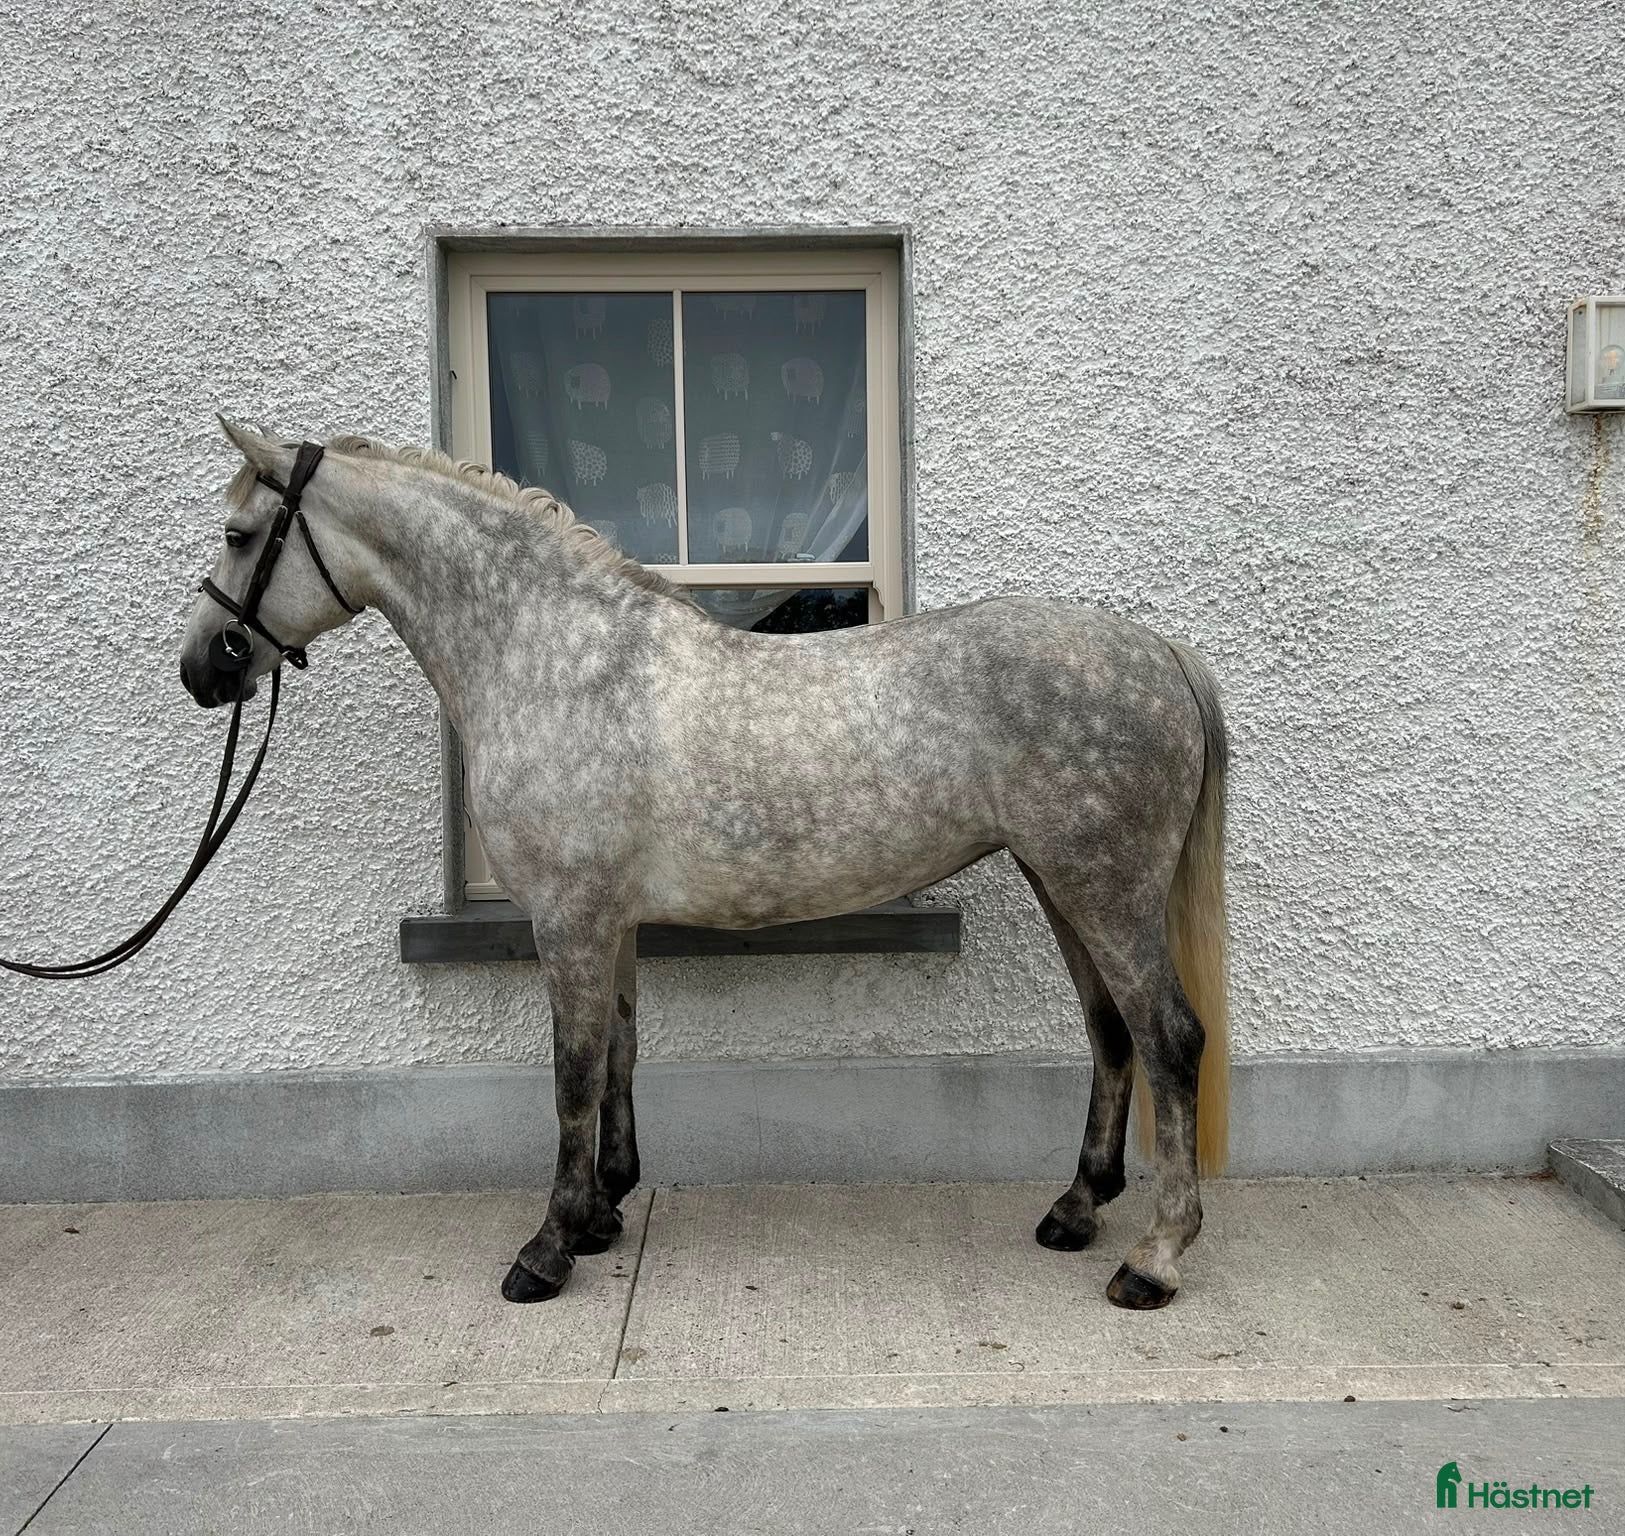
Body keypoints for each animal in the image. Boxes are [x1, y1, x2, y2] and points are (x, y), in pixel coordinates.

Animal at [179, 421, 1232, 1311]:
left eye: (238, 535)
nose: (202, 671)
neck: (551, 657)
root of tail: (1160, 652)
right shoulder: (610, 922)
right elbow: (618, 1053)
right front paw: (600, 1215)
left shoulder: (568, 917)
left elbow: (571, 1072)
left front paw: (546, 1251)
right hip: (1061, 882)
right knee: (1110, 1032)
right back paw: (1075, 1211)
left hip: (1103, 887)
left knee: (1168, 1037)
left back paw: (1154, 1259)